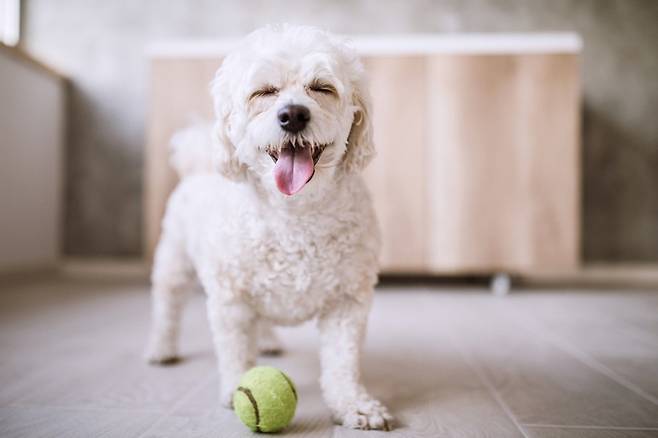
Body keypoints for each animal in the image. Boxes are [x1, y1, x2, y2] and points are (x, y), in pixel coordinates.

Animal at [144, 24, 390, 432]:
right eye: (264, 92)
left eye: (322, 88)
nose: (293, 115)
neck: (294, 215)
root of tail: (197, 162)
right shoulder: (230, 299)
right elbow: (235, 352)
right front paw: (235, 389)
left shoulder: (347, 303)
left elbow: (342, 363)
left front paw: (355, 405)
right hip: (174, 262)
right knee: (167, 306)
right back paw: (161, 348)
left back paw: (269, 340)